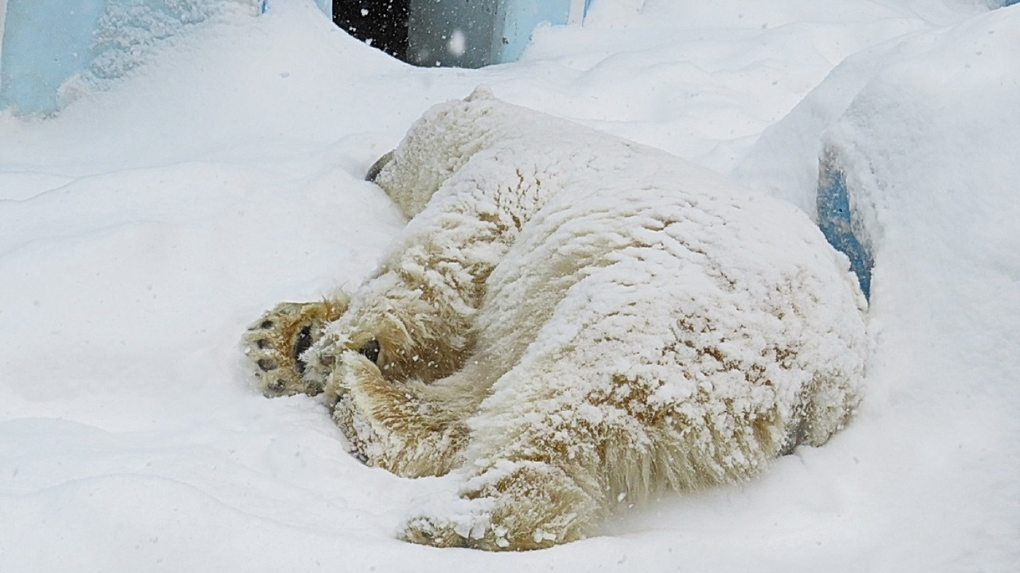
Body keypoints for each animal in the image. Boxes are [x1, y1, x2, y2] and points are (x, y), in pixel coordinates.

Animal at [240, 88, 869, 550]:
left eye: (402, 141)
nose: (372, 165)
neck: (516, 125)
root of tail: (831, 379)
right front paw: (282, 340)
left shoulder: (508, 177)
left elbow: (441, 265)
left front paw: (333, 346)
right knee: (490, 387)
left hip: (679, 312)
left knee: (575, 392)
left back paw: (449, 510)